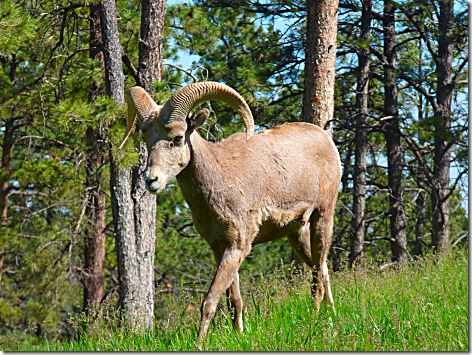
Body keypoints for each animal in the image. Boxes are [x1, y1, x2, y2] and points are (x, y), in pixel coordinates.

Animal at [120, 82, 342, 344]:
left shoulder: (237, 246)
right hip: (297, 234)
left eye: (177, 137)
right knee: (322, 269)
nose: (151, 180)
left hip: (323, 217)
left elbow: (209, 302)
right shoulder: (220, 248)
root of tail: (326, 139)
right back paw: (329, 318)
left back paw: (318, 319)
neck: (220, 178)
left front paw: (199, 343)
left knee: (318, 276)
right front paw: (239, 334)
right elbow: (234, 300)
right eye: (146, 138)